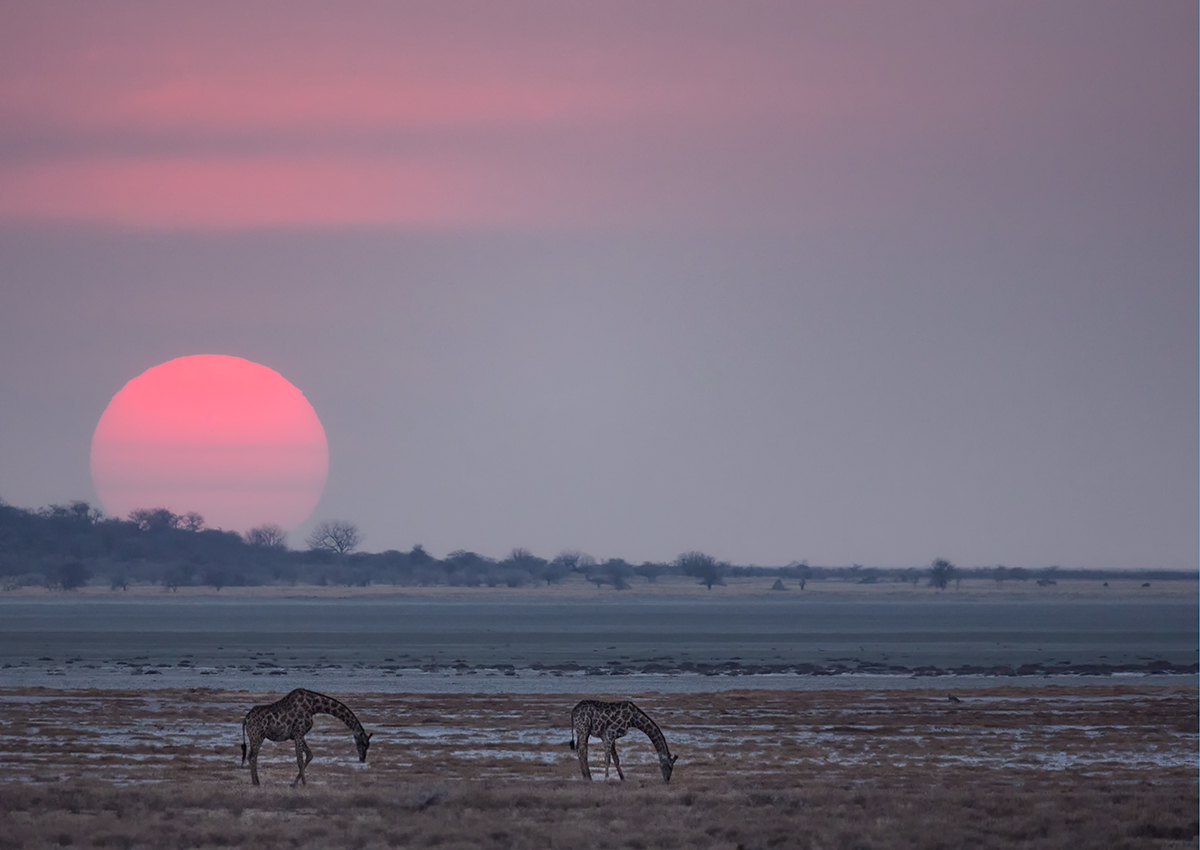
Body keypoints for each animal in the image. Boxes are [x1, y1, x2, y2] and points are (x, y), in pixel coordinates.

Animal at [240, 688, 372, 786]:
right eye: (363, 743)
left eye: (368, 745)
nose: (362, 759)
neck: (314, 706)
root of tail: (246, 719)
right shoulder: (299, 732)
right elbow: (299, 759)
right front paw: (303, 783)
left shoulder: (297, 734)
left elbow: (309, 755)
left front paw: (295, 783)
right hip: (257, 736)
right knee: (252, 757)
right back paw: (256, 783)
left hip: (256, 736)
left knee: (250, 756)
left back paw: (255, 782)